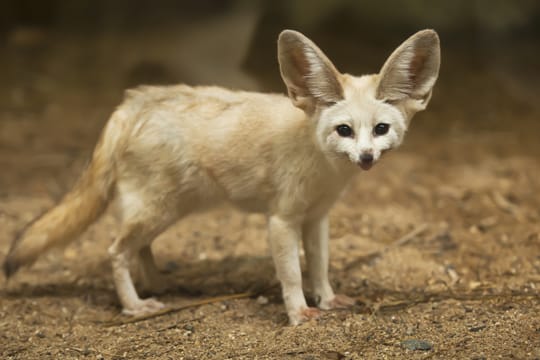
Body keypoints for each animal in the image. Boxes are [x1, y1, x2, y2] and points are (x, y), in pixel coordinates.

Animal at [3, 29, 438, 324]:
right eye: (344, 130)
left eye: (380, 129)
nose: (365, 157)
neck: (324, 169)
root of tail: (131, 103)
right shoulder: (282, 220)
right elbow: (292, 273)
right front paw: (299, 313)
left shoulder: (317, 217)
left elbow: (319, 265)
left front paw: (328, 299)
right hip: (157, 210)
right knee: (116, 251)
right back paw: (135, 305)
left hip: (167, 210)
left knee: (139, 248)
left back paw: (157, 283)